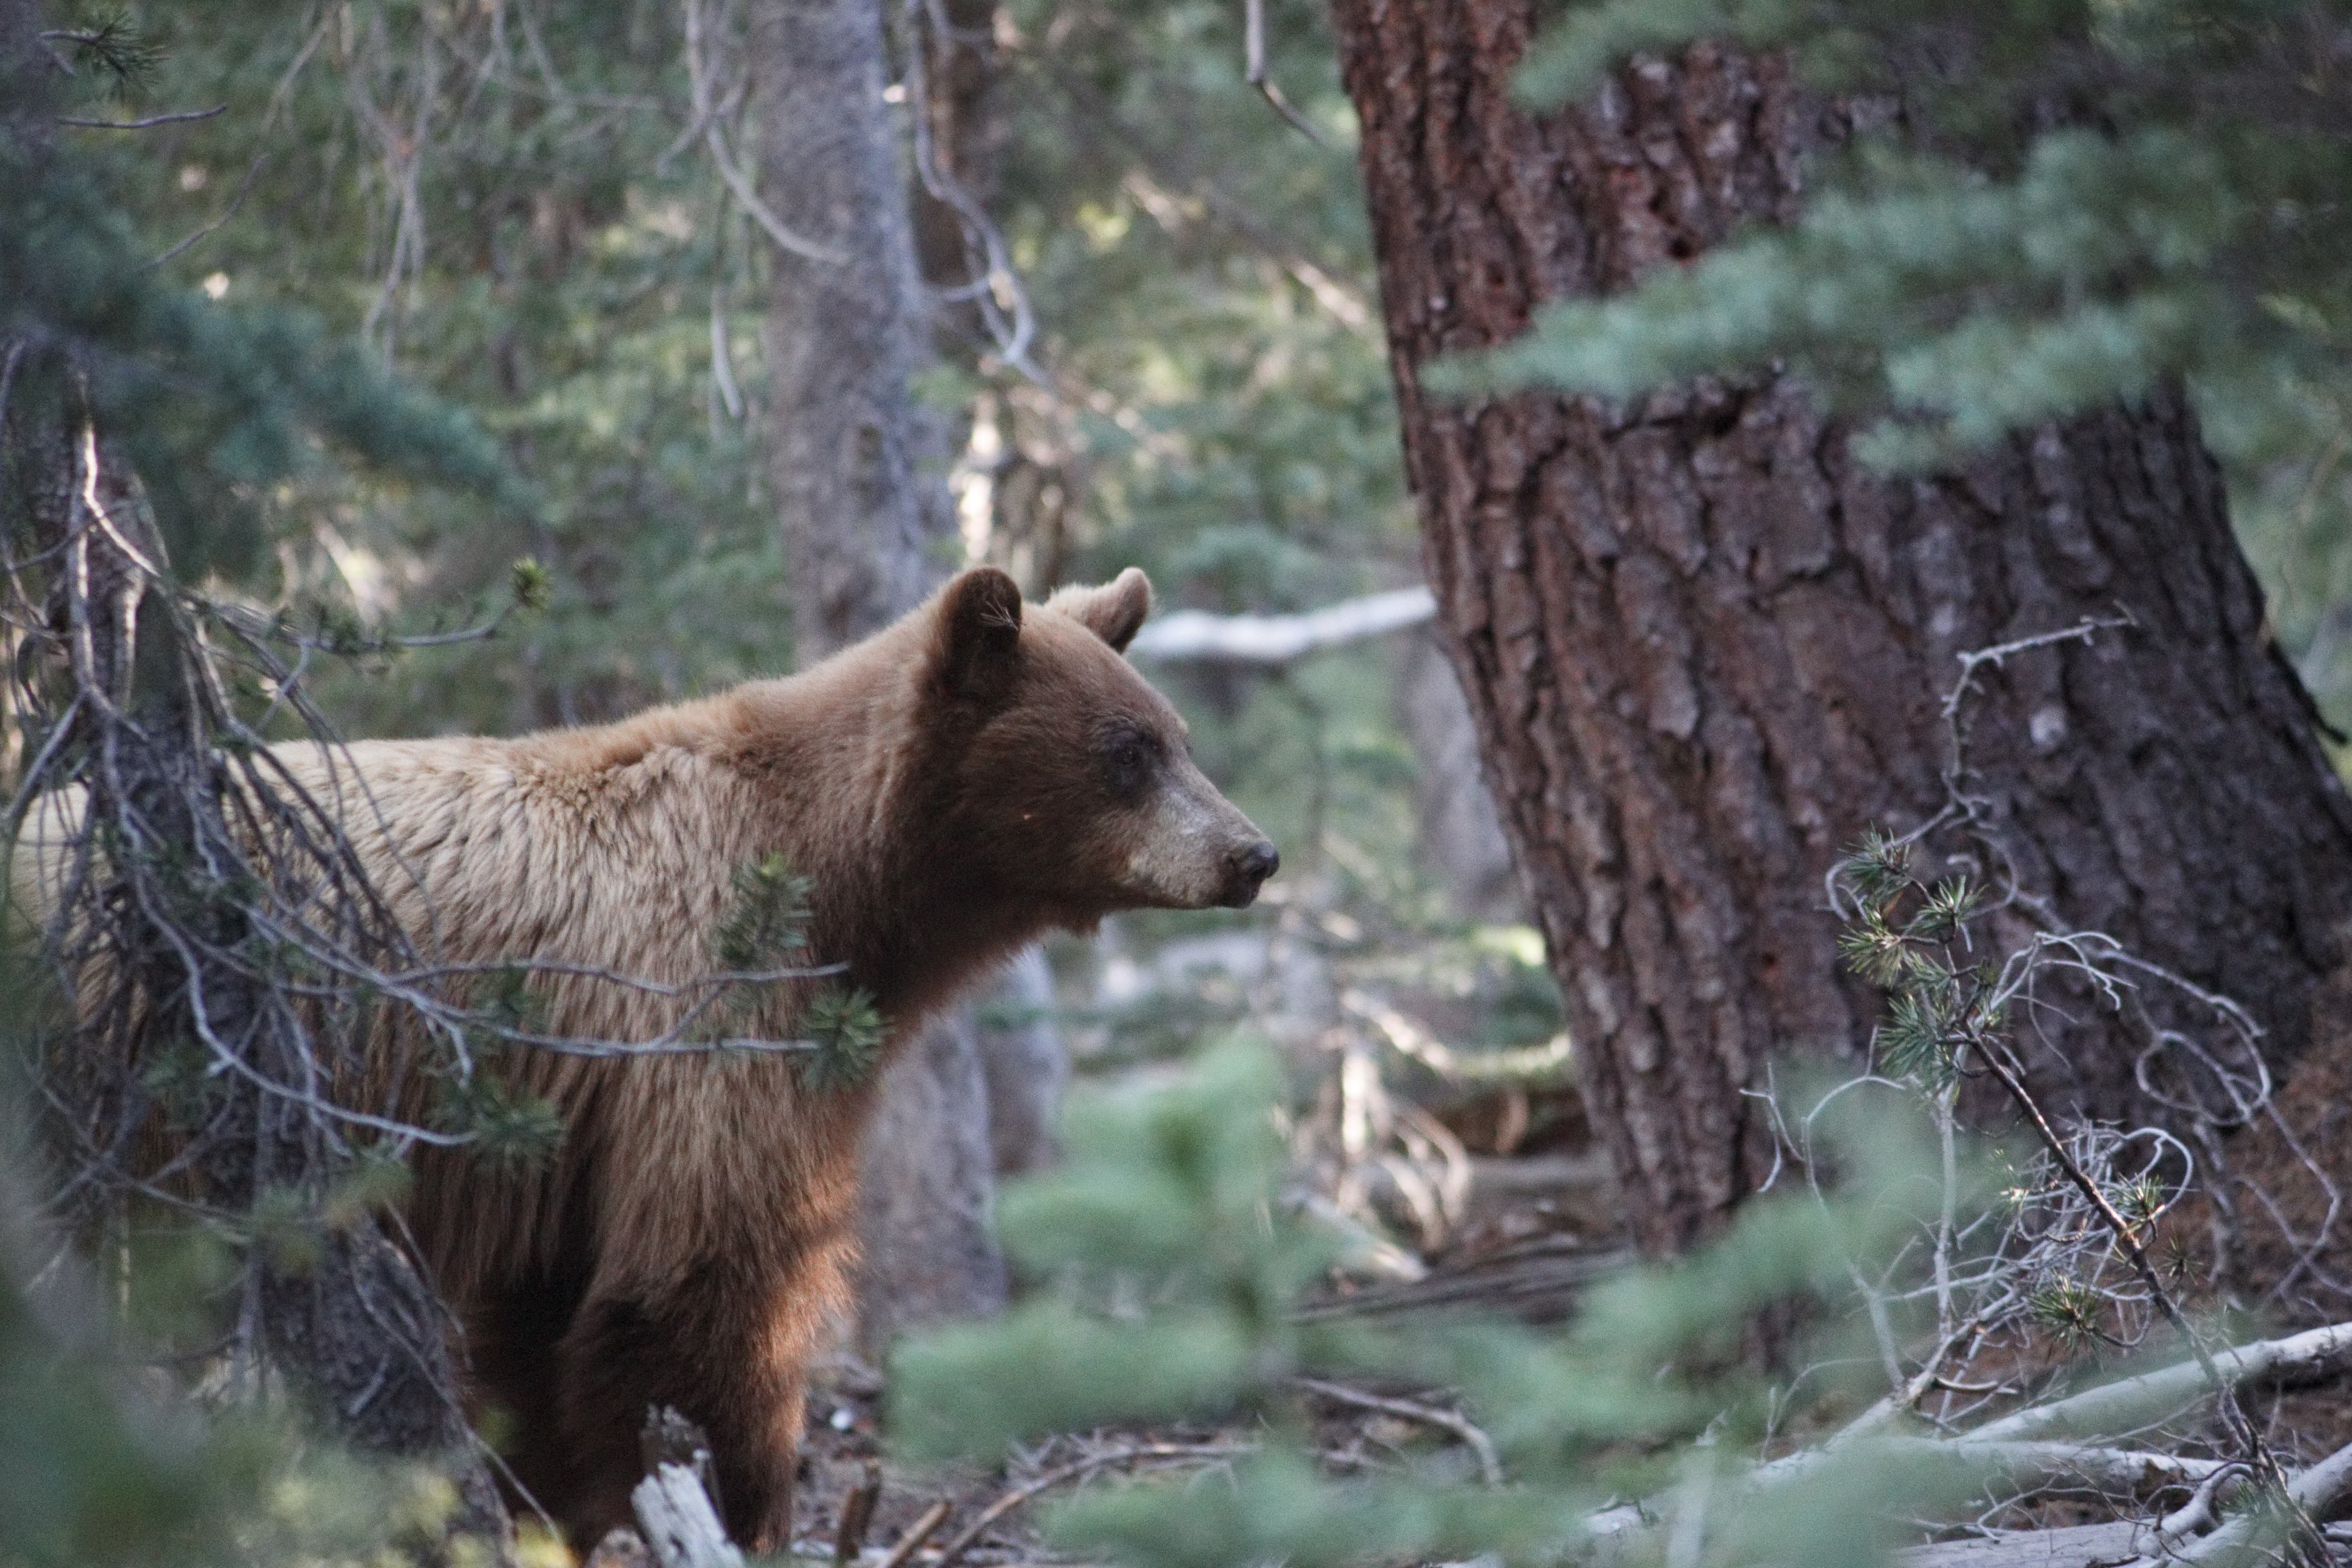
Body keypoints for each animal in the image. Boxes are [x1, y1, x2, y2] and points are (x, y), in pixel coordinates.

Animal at [30, 565, 1276, 1552]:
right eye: (1127, 753)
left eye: (1177, 737)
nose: (1252, 853)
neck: (837, 886)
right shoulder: (706, 1007)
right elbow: (704, 1274)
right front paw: (739, 1500)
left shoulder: (561, 1129)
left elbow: (545, 1316)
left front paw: (549, 1505)